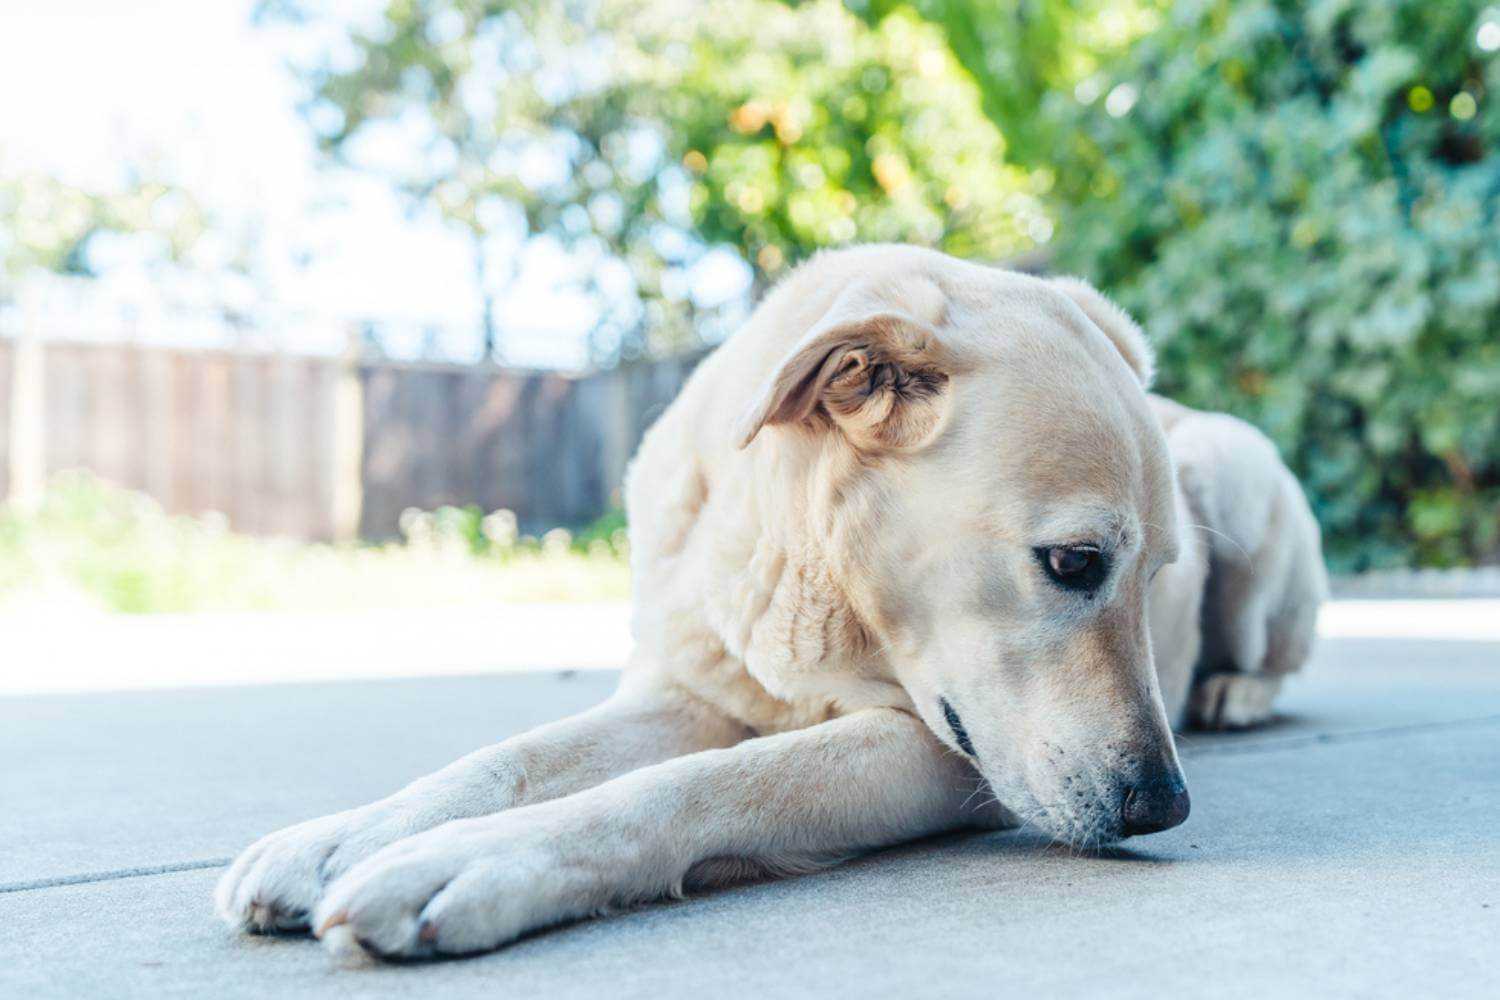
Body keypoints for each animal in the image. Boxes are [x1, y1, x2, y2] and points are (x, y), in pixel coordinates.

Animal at [214, 242, 1326, 959]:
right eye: (1074, 563)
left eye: (1160, 574)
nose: (1164, 806)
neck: (807, 572)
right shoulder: (686, 695)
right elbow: (510, 757)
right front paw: (344, 837)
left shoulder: (935, 754)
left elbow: (694, 785)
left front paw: (466, 863)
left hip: (1230, 468)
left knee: (1275, 661)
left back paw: (1233, 695)